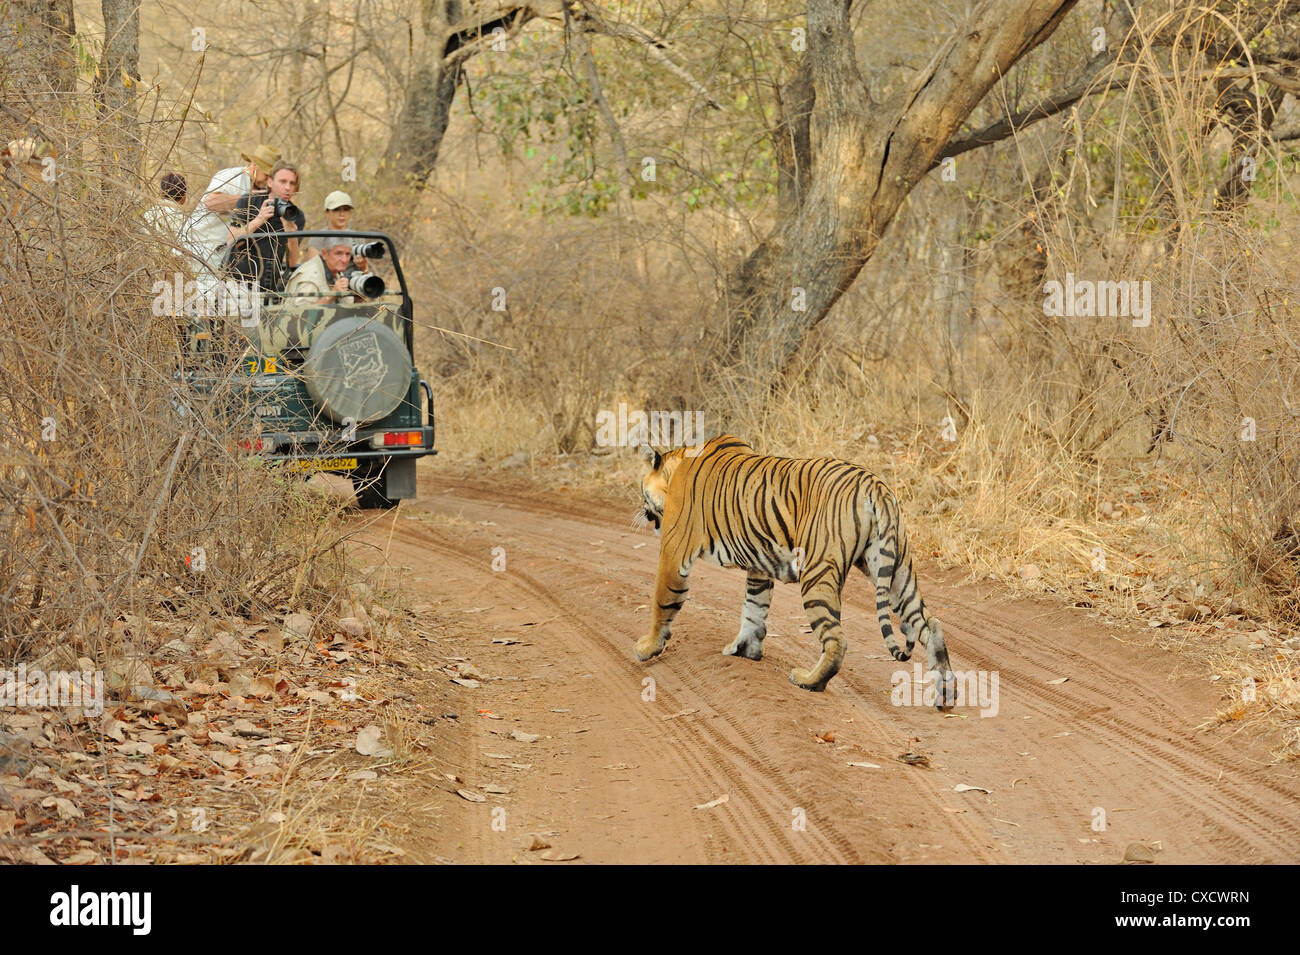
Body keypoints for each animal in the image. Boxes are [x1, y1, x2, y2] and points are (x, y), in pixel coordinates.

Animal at [637, 433, 956, 712]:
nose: (641, 511)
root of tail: (874, 484)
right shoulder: (758, 565)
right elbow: (753, 608)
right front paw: (744, 649)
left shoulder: (674, 551)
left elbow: (662, 601)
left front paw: (647, 647)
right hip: (895, 569)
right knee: (930, 624)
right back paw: (945, 695)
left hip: (818, 573)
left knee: (837, 638)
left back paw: (808, 681)